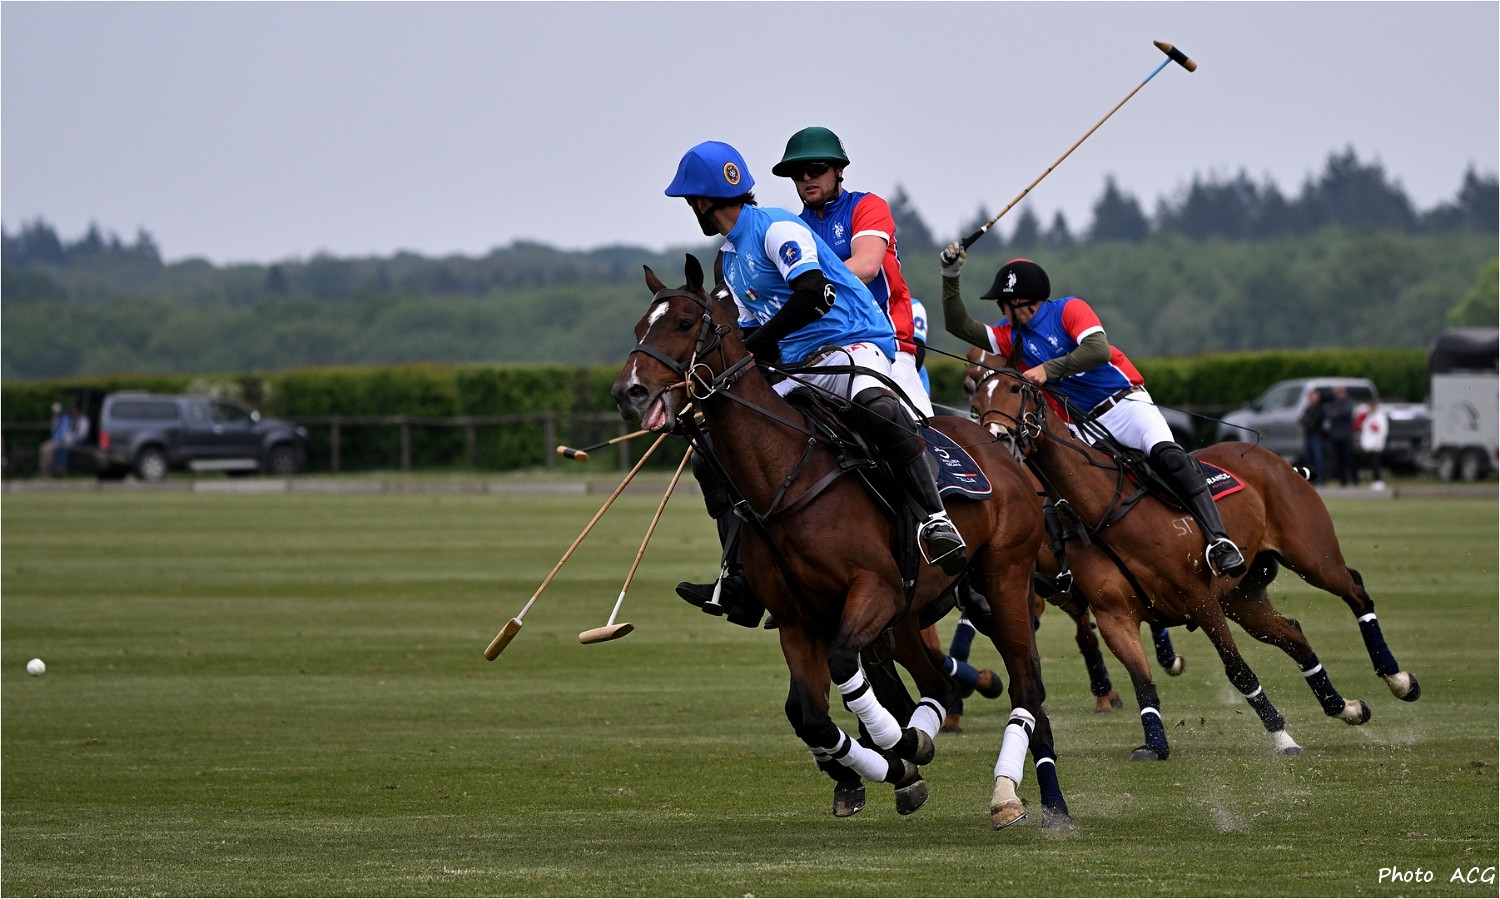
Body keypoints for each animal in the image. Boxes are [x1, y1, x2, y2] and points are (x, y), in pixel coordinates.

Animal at [612, 255, 1073, 829]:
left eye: (683, 323)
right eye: (638, 327)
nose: (628, 392)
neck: (787, 476)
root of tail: (999, 449)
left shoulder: (872, 592)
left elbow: (843, 675)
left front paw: (899, 748)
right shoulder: (800, 621)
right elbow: (809, 714)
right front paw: (893, 767)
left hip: (1003, 576)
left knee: (1026, 684)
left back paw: (1022, 798)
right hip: (910, 613)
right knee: (938, 685)